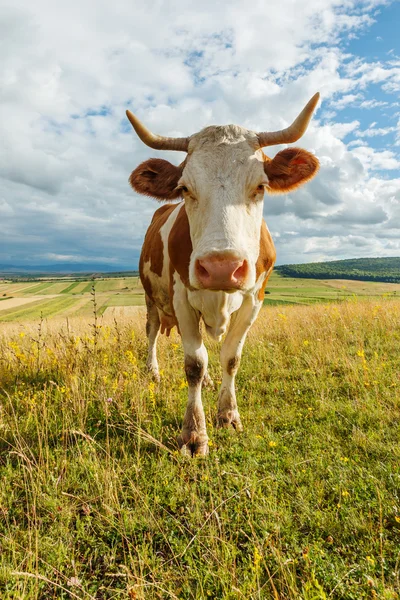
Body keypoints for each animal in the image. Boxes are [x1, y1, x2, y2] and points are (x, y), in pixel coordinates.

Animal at [126, 95, 320, 454]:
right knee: (152, 332)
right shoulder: (180, 296)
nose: (221, 267)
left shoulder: (254, 299)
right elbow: (193, 363)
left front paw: (228, 415)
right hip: (150, 297)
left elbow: (230, 357)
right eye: (184, 188)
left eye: (261, 186)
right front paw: (194, 433)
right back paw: (153, 373)